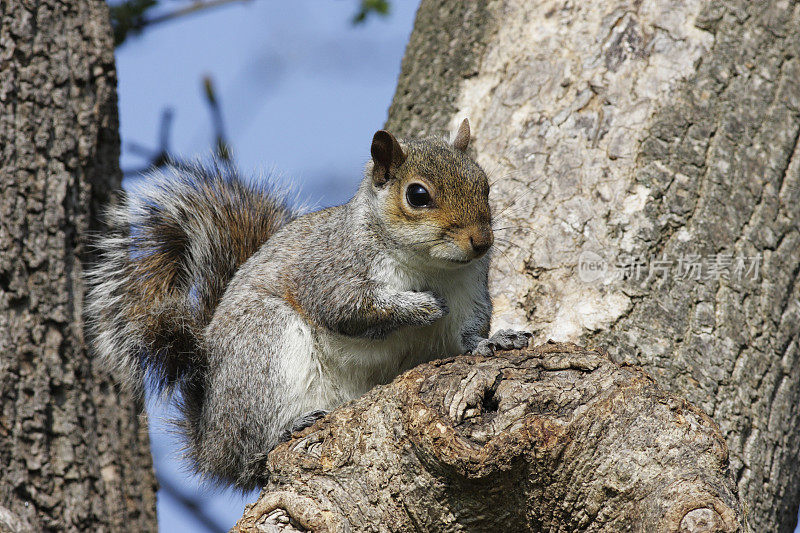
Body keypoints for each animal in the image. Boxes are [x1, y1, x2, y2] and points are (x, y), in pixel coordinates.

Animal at [86, 118, 532, 488]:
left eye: (485, 185)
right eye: (418, 195)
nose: (482, 241)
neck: (431, 265)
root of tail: (210, 440)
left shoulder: (470, 292)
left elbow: (467, 336)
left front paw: (497, 340)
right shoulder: (331, 274)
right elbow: (350, 311)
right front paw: (420, 307)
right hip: (264, 345)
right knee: (251, 454)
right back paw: (283, 430)